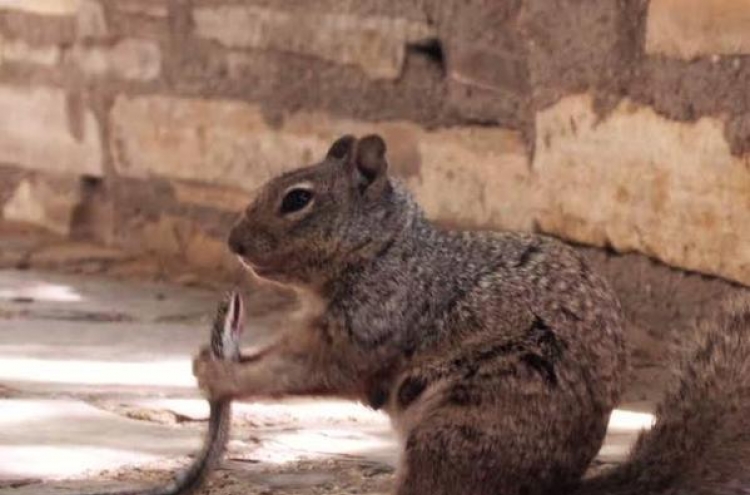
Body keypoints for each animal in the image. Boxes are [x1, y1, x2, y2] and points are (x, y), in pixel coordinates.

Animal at [194, 135, 750, 495]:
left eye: (298, 199)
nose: (234, 243)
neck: (385, 251)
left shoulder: (370, 326)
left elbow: (297, 370)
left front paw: (217, 374)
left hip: (456, 433)